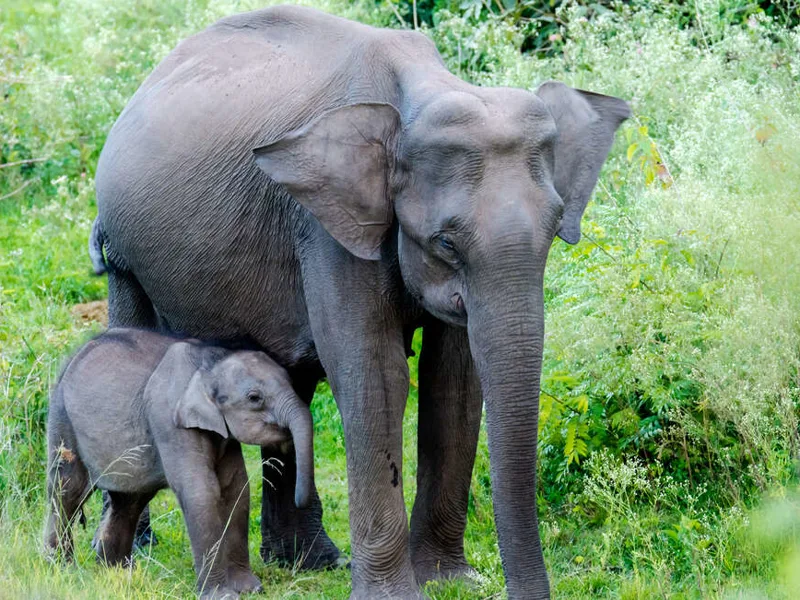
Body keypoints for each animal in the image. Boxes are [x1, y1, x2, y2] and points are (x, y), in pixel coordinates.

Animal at [44, 328, 314, 599]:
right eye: (254, 398)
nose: (299, 499)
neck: (210, 362)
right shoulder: (169, 420)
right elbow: (201, 492)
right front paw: (222, 596)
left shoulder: (221, 433)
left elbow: (236, 490)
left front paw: (251, 589)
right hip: (62, 419)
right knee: (67, 489)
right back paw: (61, 570)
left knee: (129, 500)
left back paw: (116, 574)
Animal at [89, 5, 630, 598]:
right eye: (445, 242)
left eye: (557, 229)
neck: (422, 90)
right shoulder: (326, 227)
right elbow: (377, 373)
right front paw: (399, 593)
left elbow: (454, 379)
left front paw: (450, 581)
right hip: (124, 247)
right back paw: (134, 555)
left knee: (292, 379)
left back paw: (310, 563)